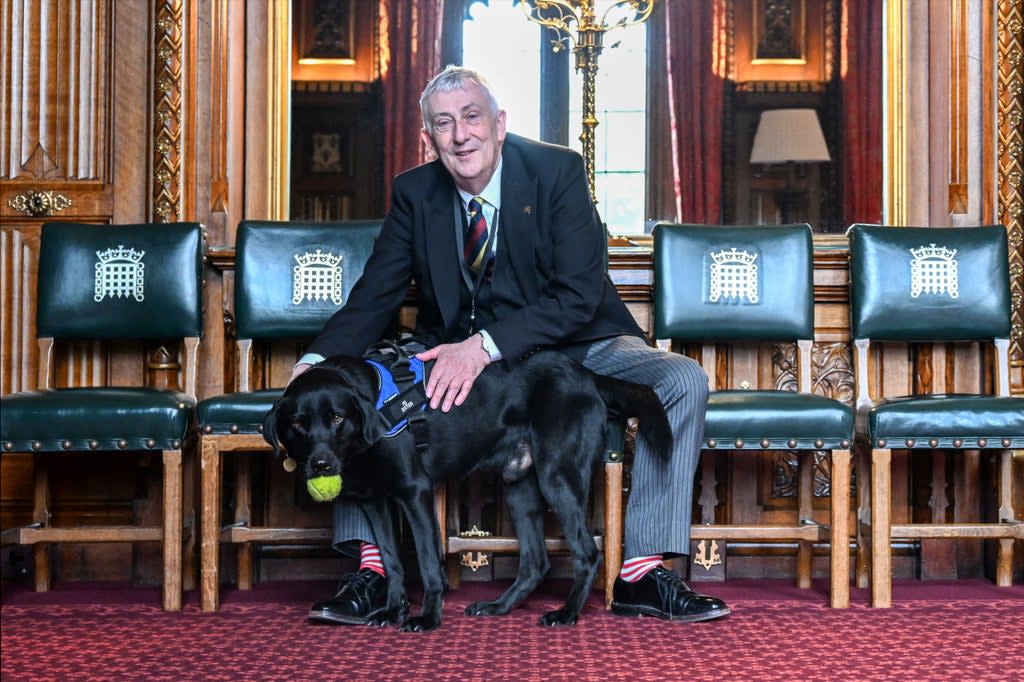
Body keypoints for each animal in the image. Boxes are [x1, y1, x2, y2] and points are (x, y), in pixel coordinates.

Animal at [262, 348, 671, 630]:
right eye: (297, 425)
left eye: (336, 418)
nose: (321, 465)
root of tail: (587, 376)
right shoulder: (375, 502)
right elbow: (392, 561)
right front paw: (393, 610)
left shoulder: (415, 493)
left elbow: (428, 561)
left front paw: (427, 618)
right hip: (520, 488)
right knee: (535, 562)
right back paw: (499, 607)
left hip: (558, 477)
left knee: (586, 551)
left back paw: (567, 613)